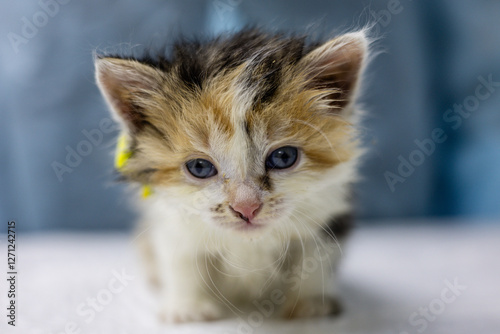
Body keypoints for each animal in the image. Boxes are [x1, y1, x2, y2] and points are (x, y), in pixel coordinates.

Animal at [94, 28, 368, 324]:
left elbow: (315, 257)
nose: (246, 207)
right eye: (200, 167)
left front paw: (310, 304)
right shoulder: (170, 220)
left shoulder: (328, 214)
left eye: (283, 157)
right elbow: (182, 258)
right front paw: (188, 307)